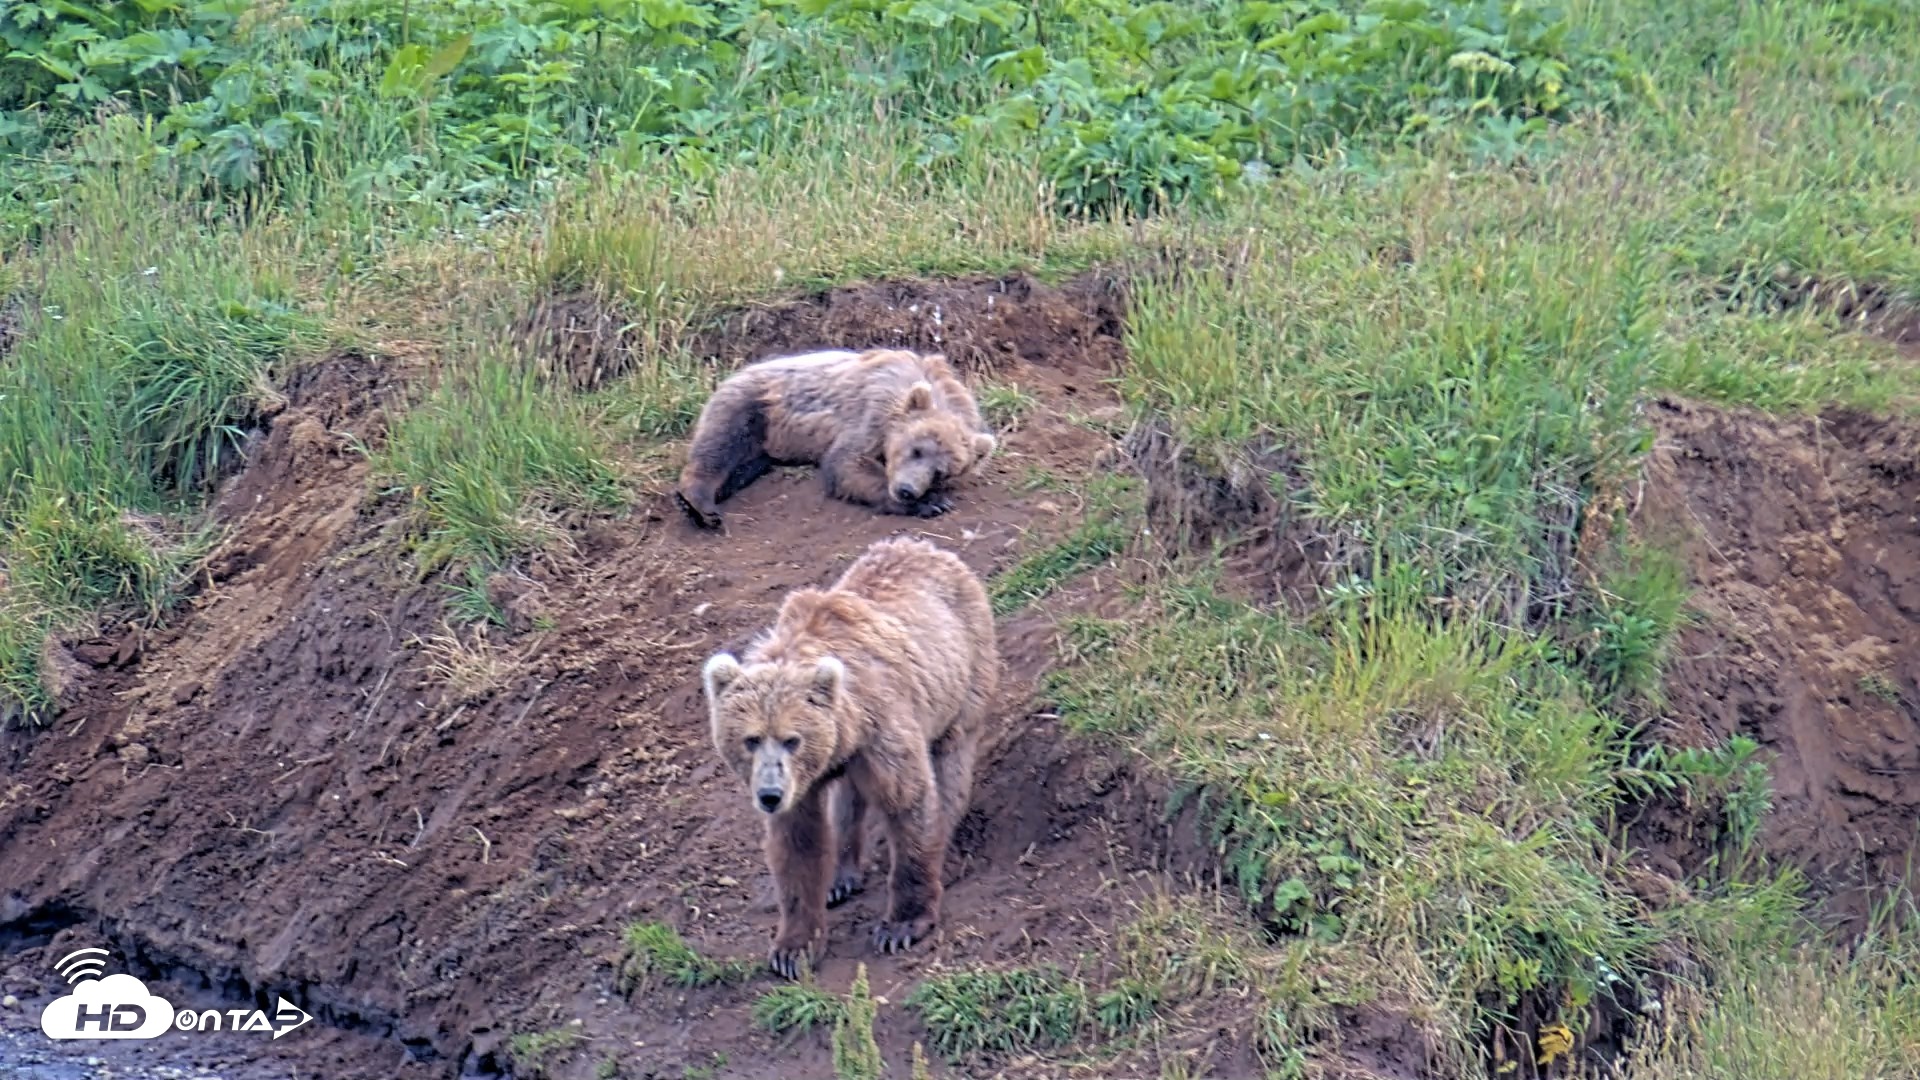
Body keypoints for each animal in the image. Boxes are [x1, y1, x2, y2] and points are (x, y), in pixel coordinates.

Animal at [674, 347, 997, 529]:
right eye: (916, 449)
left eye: (941, 472)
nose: (907, 490)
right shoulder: (871, 411)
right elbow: (847, 464)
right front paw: (931, 503)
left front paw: (934, 499)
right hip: (754, 405)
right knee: (719, 444)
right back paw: (700, 504)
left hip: (765, 447)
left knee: (742, 466)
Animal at [701, 536, 1001, 978]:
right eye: (751, 739)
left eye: (791, 739)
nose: (769, 795)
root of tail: (929, 548)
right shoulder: (806, 782)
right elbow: (798, 842)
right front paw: (793, 948)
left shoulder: (882, 727)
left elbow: (908, 799)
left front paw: (901, 925)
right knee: (848, 800)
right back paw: (841, 876)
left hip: (963, 673)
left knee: (949, 765)